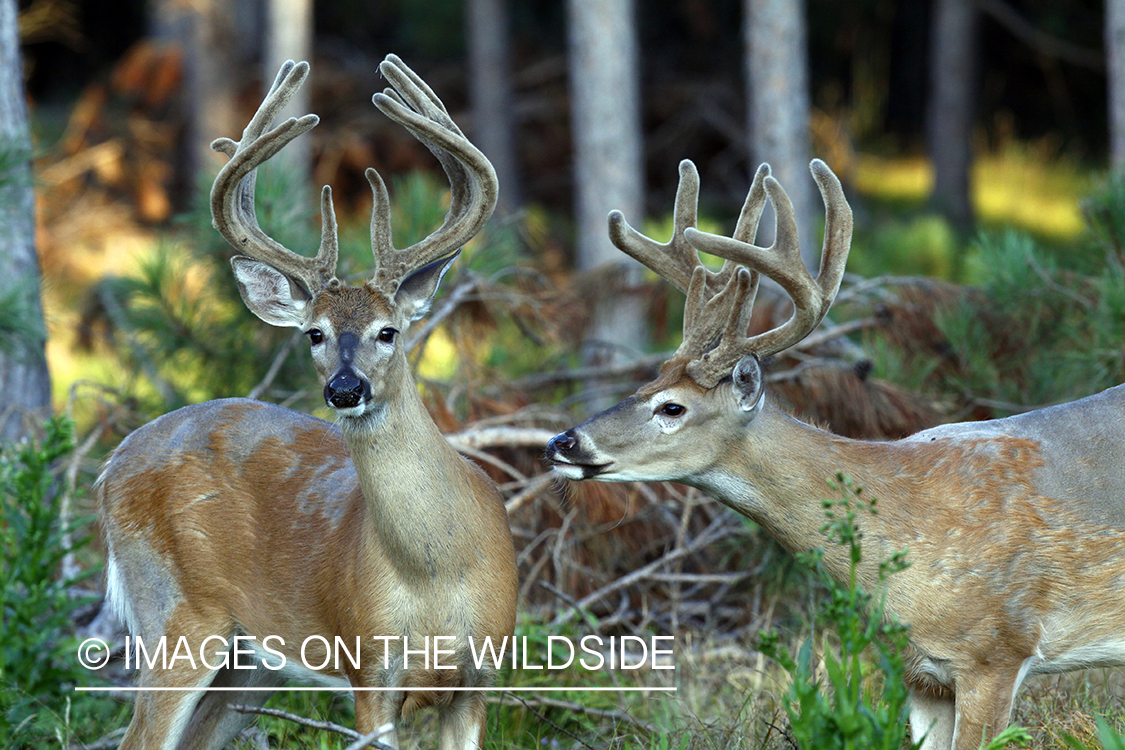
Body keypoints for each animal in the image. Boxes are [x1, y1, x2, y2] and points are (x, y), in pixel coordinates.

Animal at [99, 55, 515, 746]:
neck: (436, 575)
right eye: (314, 333)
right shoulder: (368, 665)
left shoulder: (480, 677)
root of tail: (110, 463)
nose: (345, 388)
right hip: (176, 613)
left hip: (250, 658)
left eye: (388, 331)